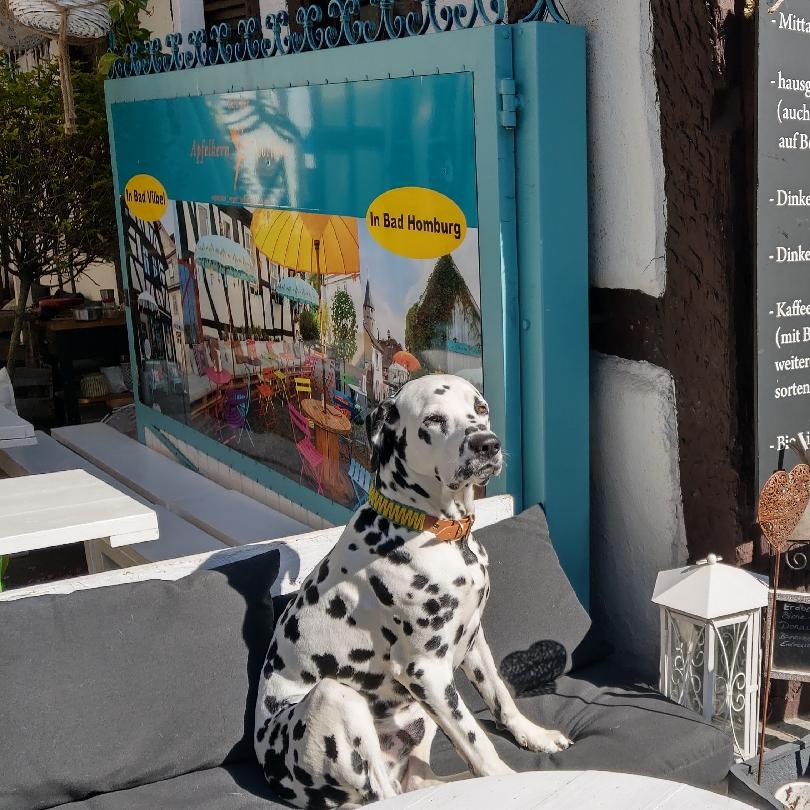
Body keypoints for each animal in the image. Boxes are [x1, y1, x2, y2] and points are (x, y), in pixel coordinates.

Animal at [252, 372, 568, 800]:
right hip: (339, 697)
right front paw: (508, 781)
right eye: (433, 419)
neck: (437, 532)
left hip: (421, 712)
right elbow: (479, 743)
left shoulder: (471, 641)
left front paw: (535, 736)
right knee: (385, 792)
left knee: (417, 782)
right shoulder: (427, 671)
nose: (486, 443)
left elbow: (500, 696)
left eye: (480, 408)